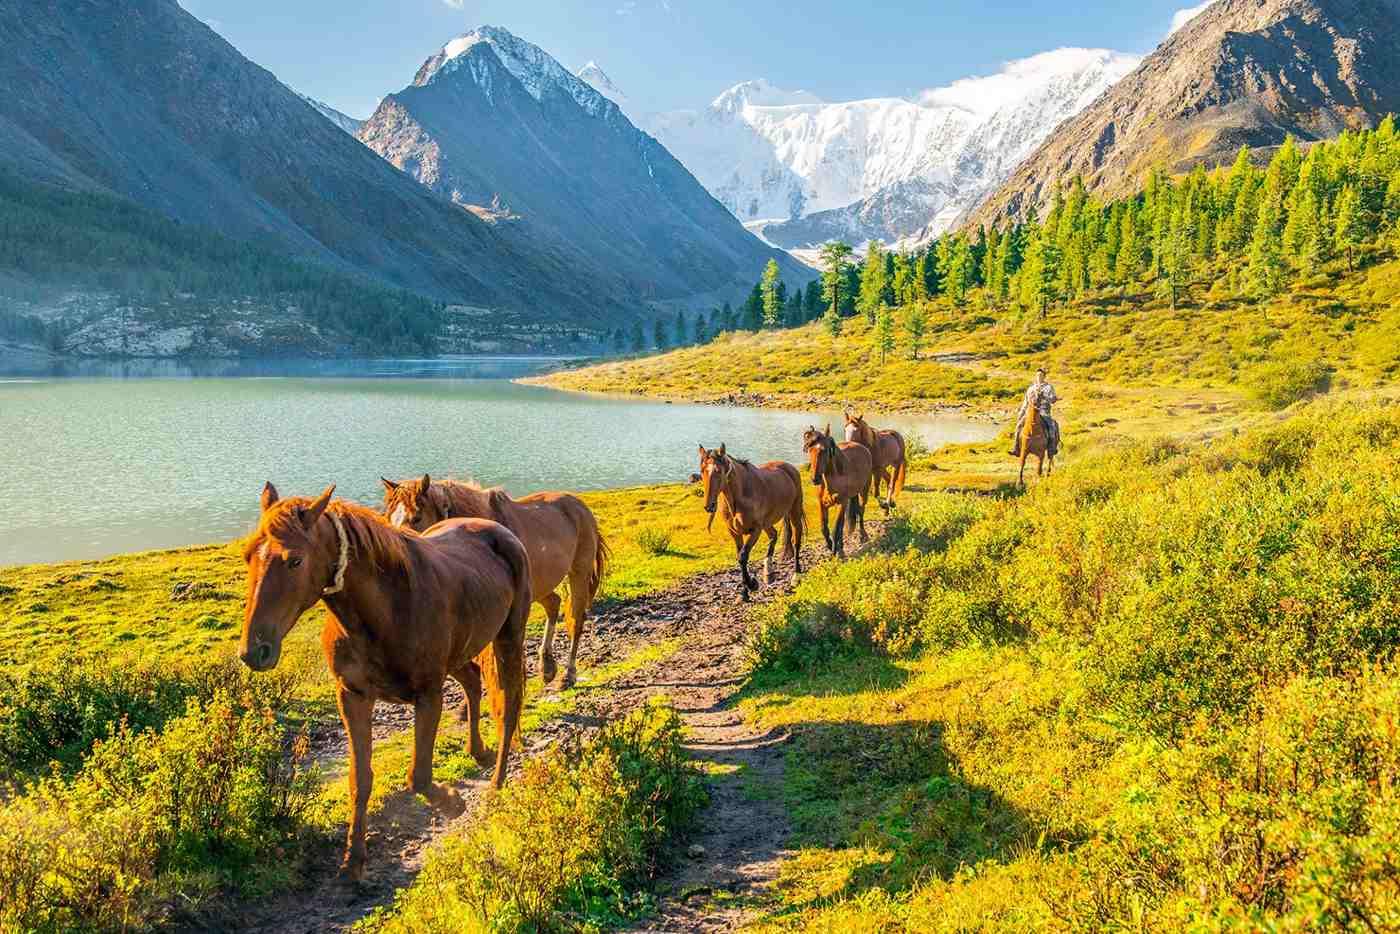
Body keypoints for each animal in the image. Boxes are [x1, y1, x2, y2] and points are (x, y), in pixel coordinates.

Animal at [239, 483, 531, 880]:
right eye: (248, 556)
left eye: (294, 560)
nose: (254, 651)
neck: (385, 609)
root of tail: (497, 530)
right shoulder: (353, 697)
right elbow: (360, 780)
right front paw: (353, 859)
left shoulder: (428, 695)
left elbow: (418, 776)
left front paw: (453, 803)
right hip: (460, 653)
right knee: (472, 681)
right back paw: (478, 751)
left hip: (507, 640)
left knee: (509, 706)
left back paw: (497, 783)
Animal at [382, 475, 608, 690]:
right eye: (388, 518)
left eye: (416, 517)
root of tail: (580, 507)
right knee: (553, 604)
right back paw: (547, 667)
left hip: (578, 573)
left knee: (575, 620)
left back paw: (568, 674)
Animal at [697, 445, 805, 602]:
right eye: (702, 471)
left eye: (718, 471)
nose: (709, 506)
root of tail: (789, 468)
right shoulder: (734, 532)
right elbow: (740, 557)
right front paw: (744, 593)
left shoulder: (755, 530)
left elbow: (743, 556)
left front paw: (752, 584)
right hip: (767, 522)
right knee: (774, 535)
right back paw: (768, 572)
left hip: (794, 512)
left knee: (796, 540)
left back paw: (796, 576)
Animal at [801, 425, 874, 558]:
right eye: (809, 449)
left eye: (824, 450)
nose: (815, 479)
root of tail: (863, 448)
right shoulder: (822, 504)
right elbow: (824, 528)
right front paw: (831, 546)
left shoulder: (841, 503)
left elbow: (835, 529)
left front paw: (836, 551)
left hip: (863, 492)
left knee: (861, 511)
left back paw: (862, 535)